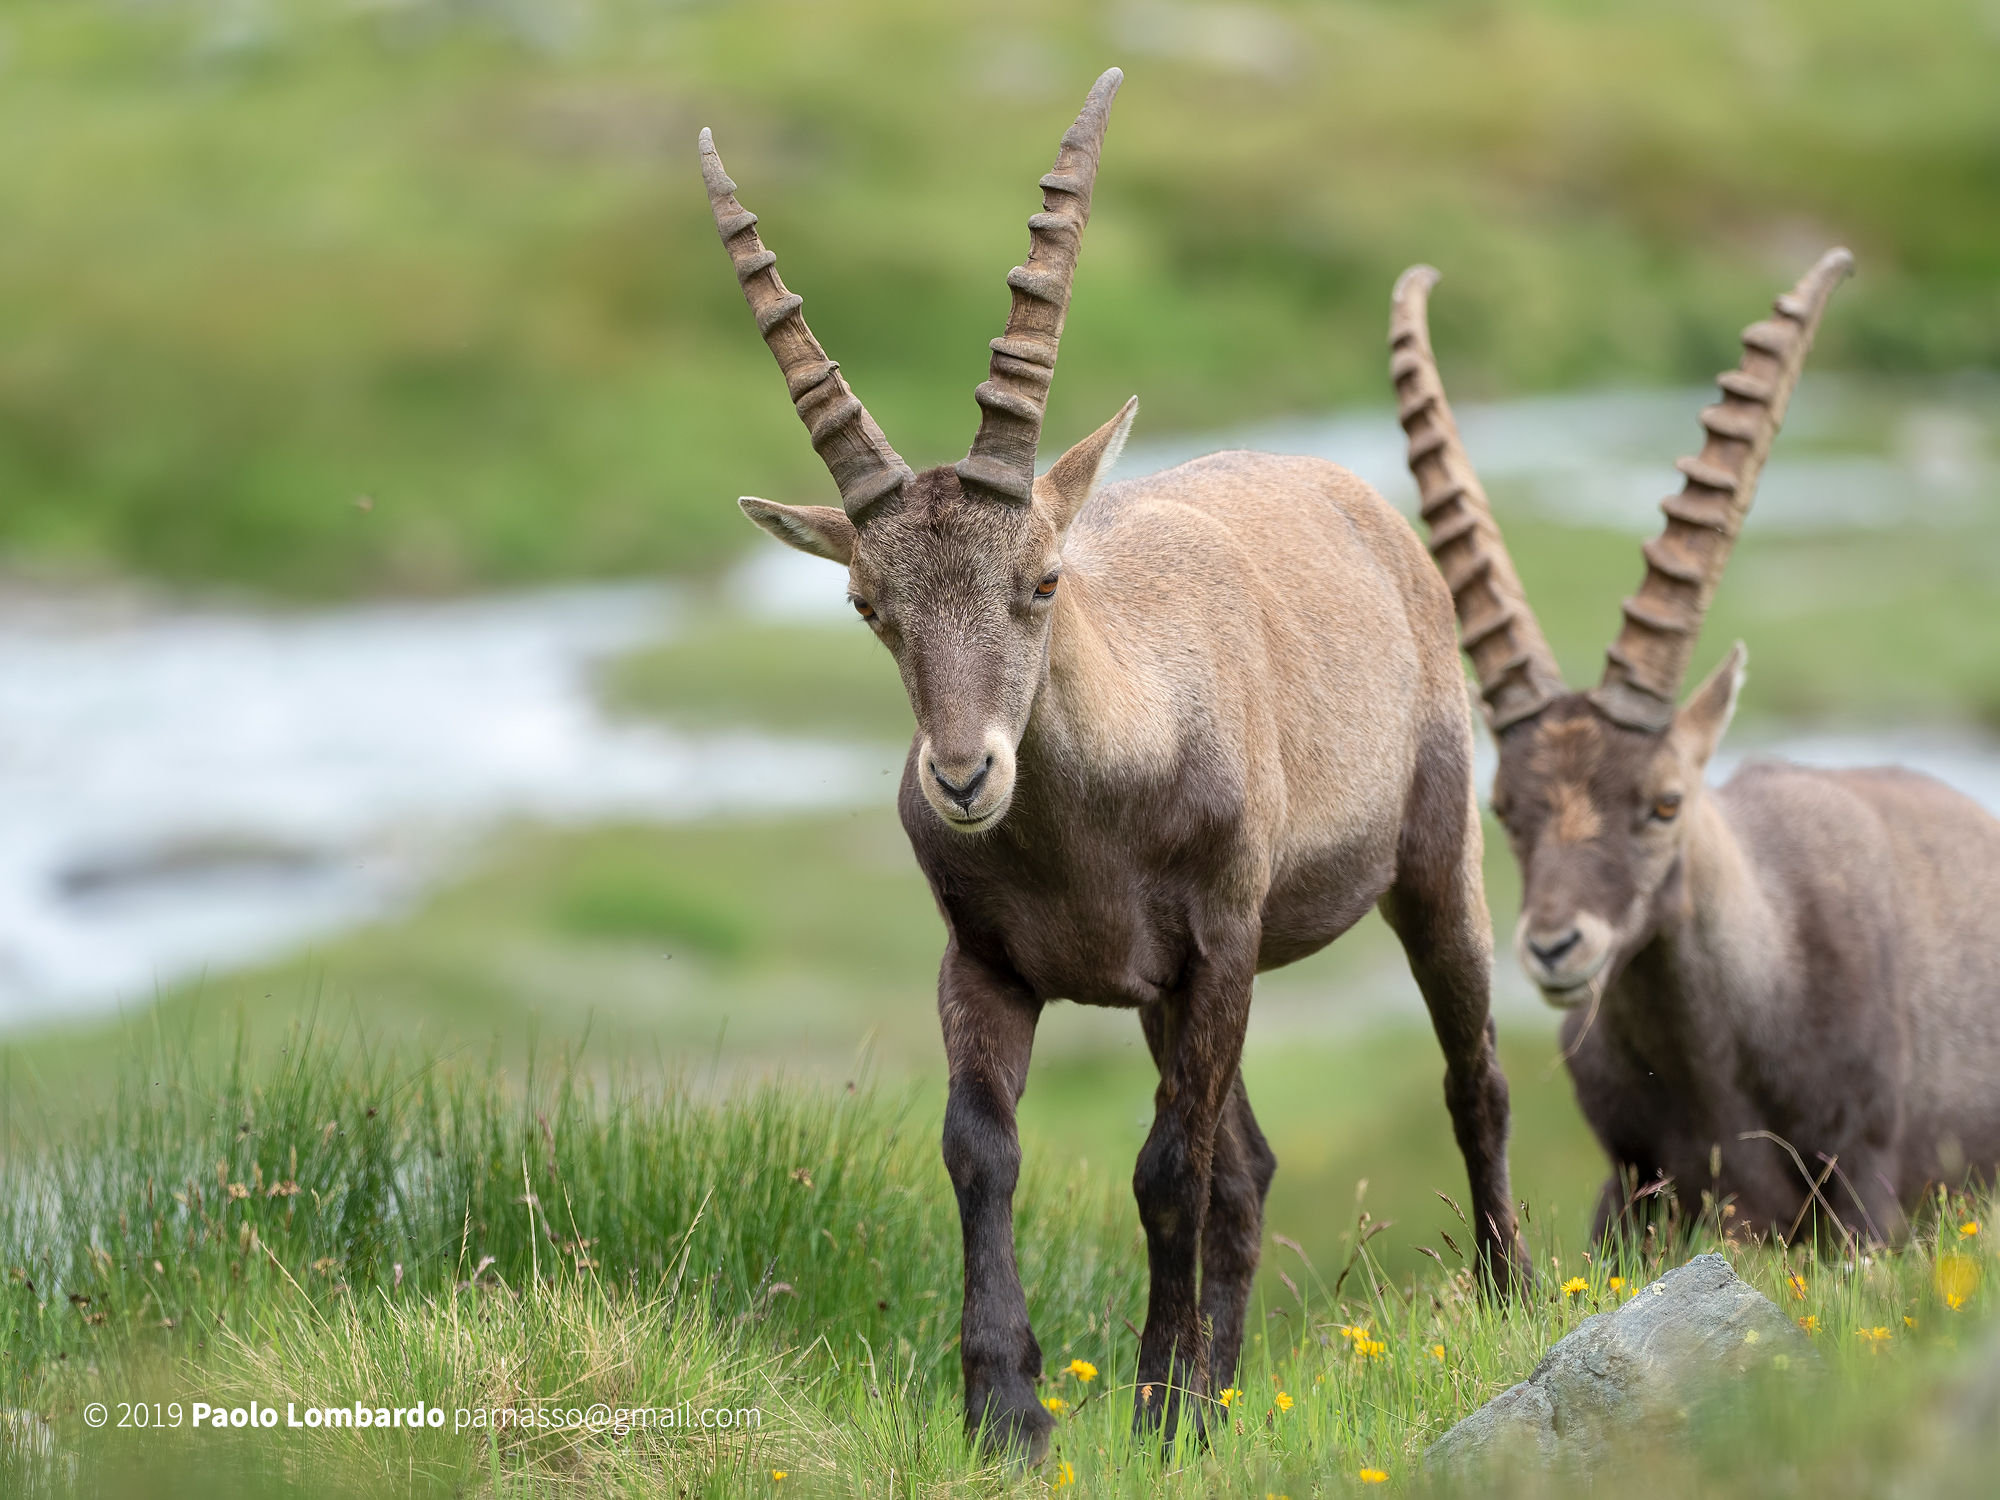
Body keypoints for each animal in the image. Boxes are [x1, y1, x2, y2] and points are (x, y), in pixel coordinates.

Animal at [700, 70, 1525, 1458]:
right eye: (868, 605)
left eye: (1041, 580)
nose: (962, 778)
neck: (1087, 826)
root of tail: (1353, 496)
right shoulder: (986, 961)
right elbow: (981, 1149)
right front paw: (1008, 1411)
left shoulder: (1220, 945)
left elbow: (1165, 1170)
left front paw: (1155, 1409)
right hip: (1150, 999)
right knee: (1252, 1168)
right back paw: (1231, 1394)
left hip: (1428, 859)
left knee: (1471, 1078)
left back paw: (1505, 1298)